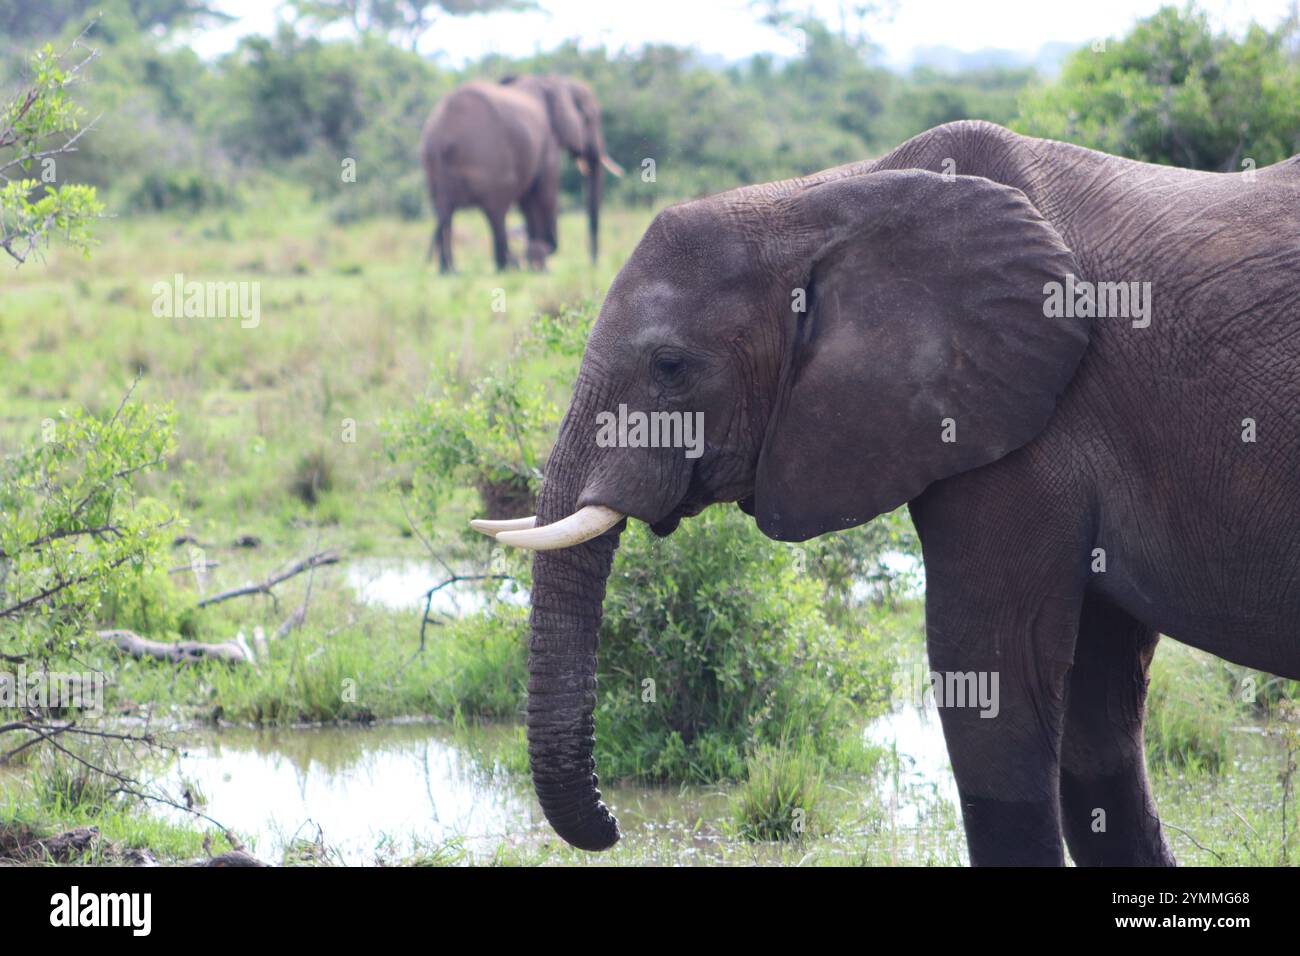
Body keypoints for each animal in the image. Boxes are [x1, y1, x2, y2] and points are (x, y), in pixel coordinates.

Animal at [416, 74, 618, 273]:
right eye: (591, 118)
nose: (593, 265)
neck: (555, 81)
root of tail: (443, 138)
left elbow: (528, 201)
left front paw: (536, 259)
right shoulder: (548, 145)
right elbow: (545, 195)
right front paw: (539, 257)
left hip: (432, 164)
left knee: (446, 212)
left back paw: (450, 271)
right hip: (487, 161)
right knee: (496, 211)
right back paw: (506, 267)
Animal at [470, 119, 1300, 868]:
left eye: (669, 366)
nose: (614, 827)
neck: (824, 199)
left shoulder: (1028, 421)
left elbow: (992, 675)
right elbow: (1099, 714)